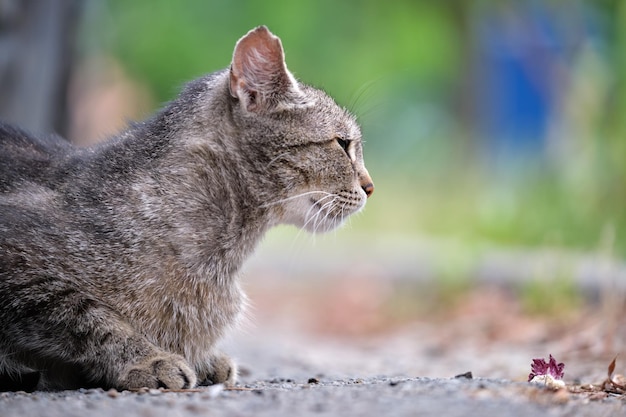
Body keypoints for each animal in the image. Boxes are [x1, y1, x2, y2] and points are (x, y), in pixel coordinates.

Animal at [0, 26, 370, 390]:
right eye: (342, 144)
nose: (370, 187)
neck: (223, 257)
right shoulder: (19, 264)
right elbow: (89, 316)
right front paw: (149, 359)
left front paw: (204, 358)